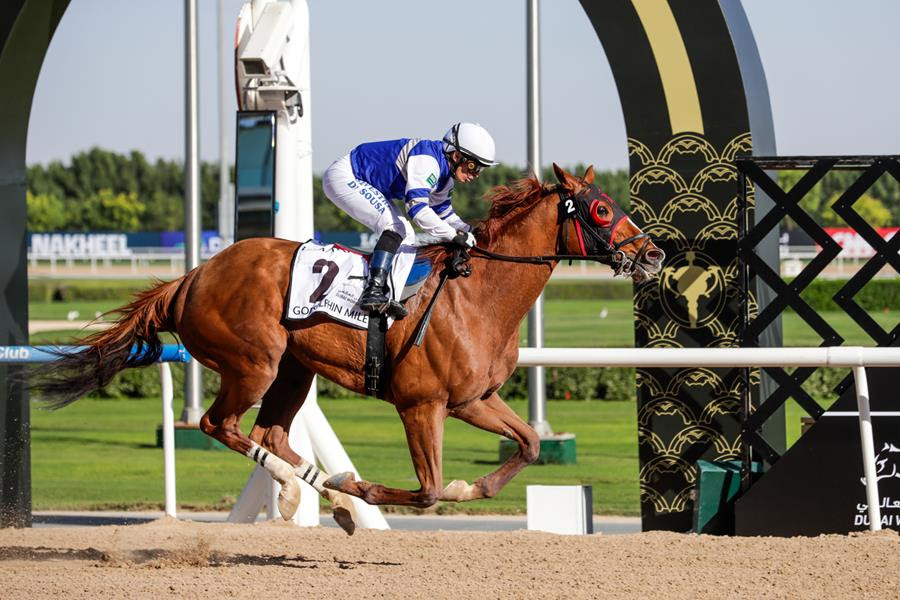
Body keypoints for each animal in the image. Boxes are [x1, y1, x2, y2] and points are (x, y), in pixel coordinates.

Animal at [33, 163, 664, 534]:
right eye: (602, 209)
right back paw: (306, 491)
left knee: (270, 434)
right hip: (253, 363)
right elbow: (428, 492)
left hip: (292, 370)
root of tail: (191, 277)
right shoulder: (421, 405)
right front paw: (365, 488)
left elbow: (529, 445)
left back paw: (322, 492)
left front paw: (472, 486)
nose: (653, 254)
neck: (478, 294)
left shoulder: (473, 400)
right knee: (221, 425)